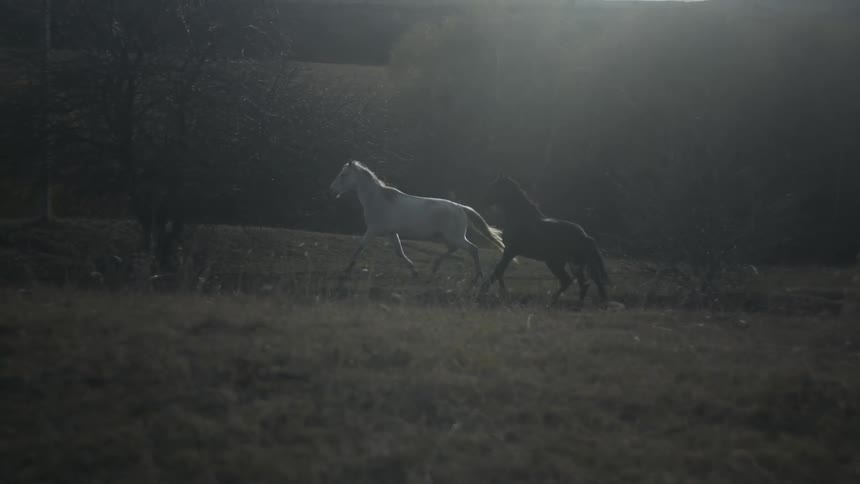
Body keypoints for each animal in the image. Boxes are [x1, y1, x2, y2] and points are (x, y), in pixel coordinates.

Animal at [329, 160, 505, 281]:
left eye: (343, 175)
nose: (332, 189)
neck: (377, 200)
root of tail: (461, 207)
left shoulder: (373, 230)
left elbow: (360, 246)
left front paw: (346, 270)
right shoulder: (391, 233)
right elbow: (399, 253)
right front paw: (414, 272)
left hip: (455, 236)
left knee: (473, 249)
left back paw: (477, 276)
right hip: (447, 237)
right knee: (454, 249)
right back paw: (435, 267)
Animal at [478, 174, 610, 307]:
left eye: (494, 187)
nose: (482, 201)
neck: (520, 218)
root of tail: (585, 236)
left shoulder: (510, 251)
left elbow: (497, 272)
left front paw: (487, 292)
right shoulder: (509, 252)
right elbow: (499, 272)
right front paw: (498, 293)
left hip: (557, 263)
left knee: (571, 281)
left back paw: (552, 302)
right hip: (570, 264)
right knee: (581, 283)